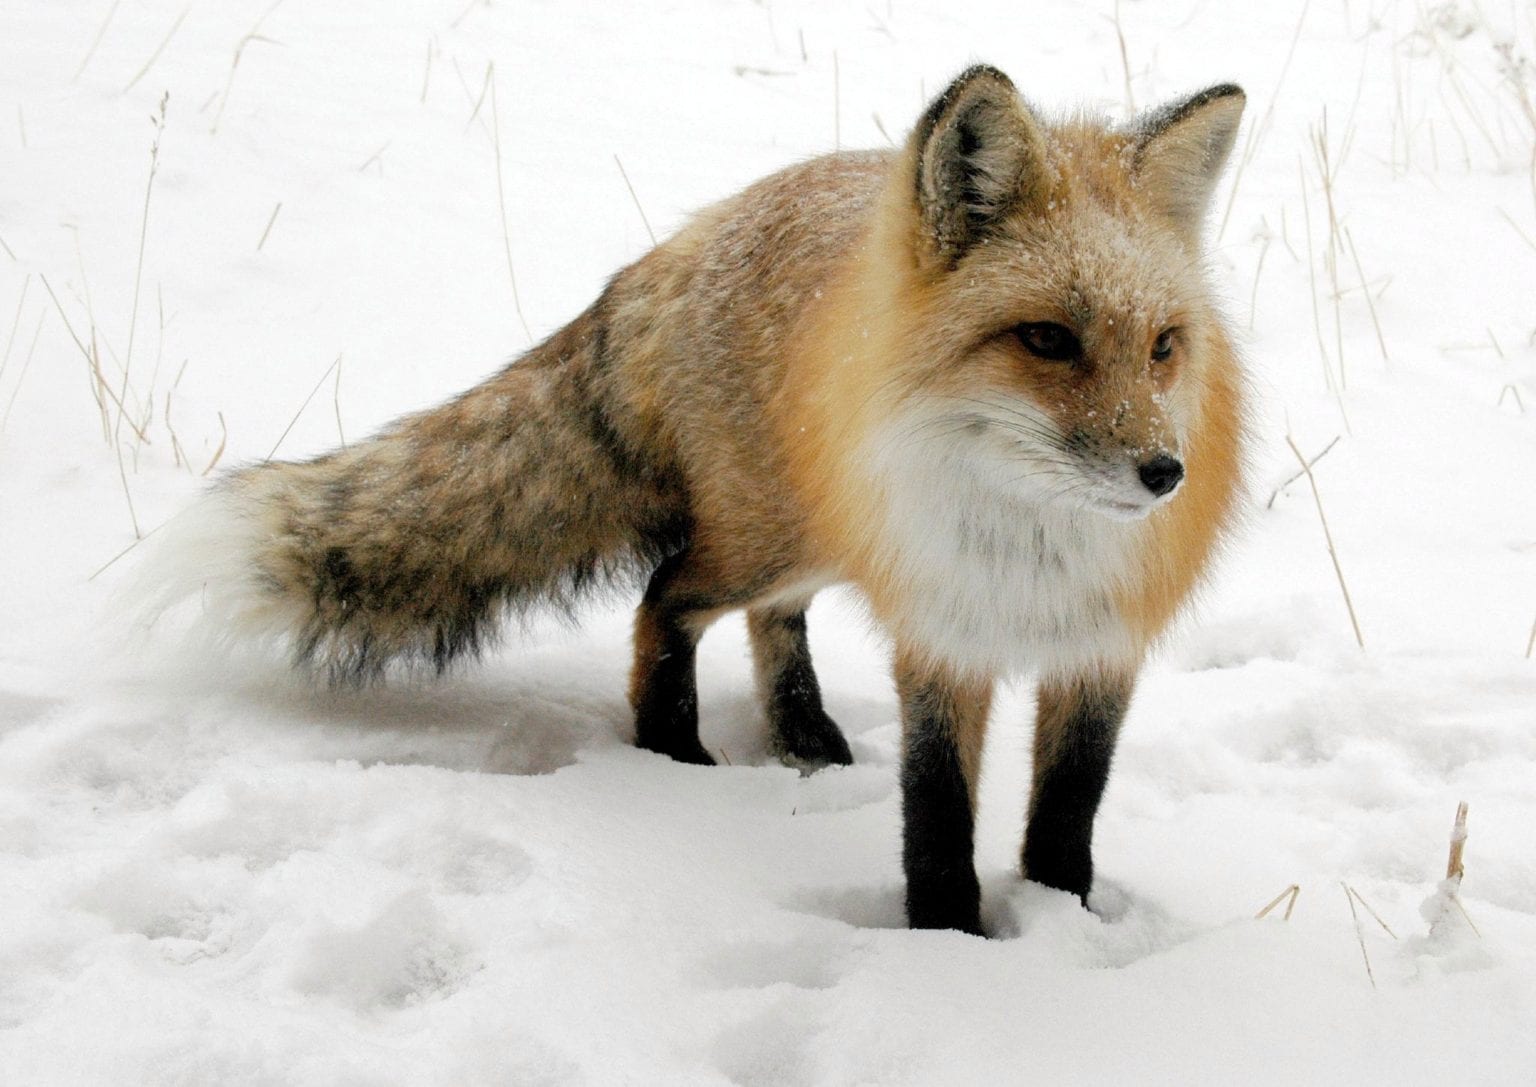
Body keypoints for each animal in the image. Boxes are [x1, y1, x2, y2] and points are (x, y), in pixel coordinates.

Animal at [141, 65, 1248, 935]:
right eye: (1047, 339)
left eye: (1163, 346)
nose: (1164, 473)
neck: (1033, 543)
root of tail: (685, 241)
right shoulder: (939, 630)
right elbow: (936, 810)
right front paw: (948, 939)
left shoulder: (1102, 646)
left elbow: (1069, 805)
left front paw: (1066, 916)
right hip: (773, 535)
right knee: (665, 597)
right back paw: (670, 748)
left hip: (811, 538)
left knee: (768, 620)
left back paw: (802, 736)